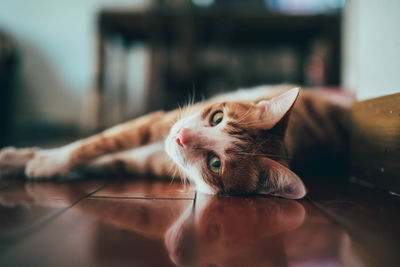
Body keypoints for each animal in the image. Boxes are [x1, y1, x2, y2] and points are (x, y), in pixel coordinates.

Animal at [0, 85, 350, 200]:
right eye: (217, 117)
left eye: (215, 163)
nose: (180, 136)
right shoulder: (158, 122)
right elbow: (95, 143)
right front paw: (29, 157)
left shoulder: (143, 161)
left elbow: (98, 157)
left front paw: (45, 164)